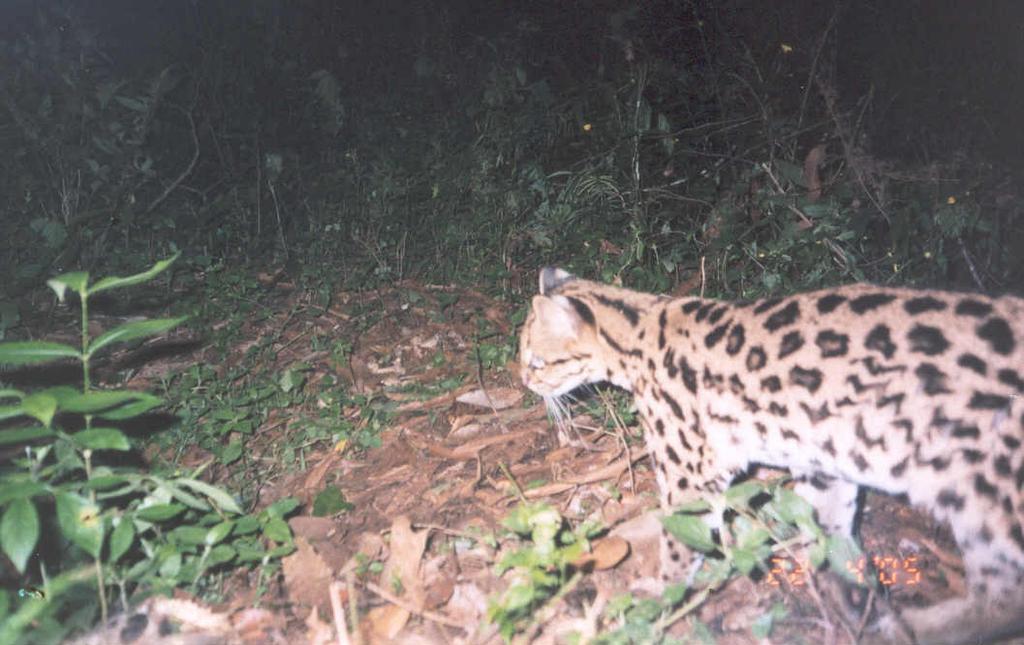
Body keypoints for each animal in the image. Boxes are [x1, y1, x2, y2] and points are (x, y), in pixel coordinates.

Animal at [520, 266, 1024, 642]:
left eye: (536, 362)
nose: (523, 381)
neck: (638, 329)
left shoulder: (689, 476)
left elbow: (680, 546)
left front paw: (658, 599)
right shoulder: (821, 463)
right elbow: (833, 535)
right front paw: (852, 596)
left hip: (985, 493)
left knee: (1004, 594)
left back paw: (919, 626)